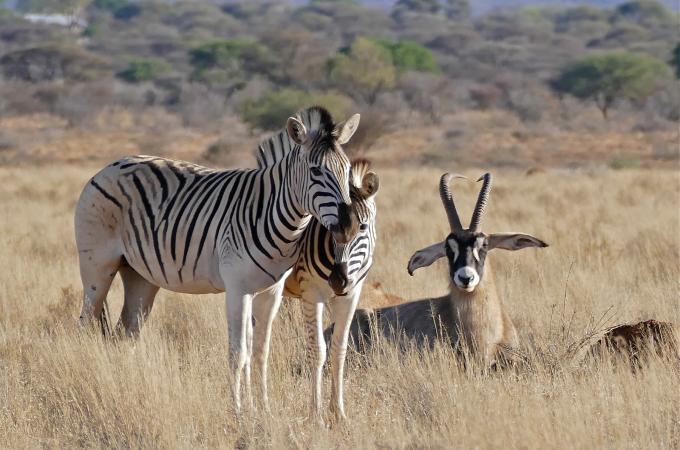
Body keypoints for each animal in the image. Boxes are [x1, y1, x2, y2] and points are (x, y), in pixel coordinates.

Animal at [75, 106, 361, 412]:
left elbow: (260, 352)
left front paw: (263, 409)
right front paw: (238, 412)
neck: (274, 212)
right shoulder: (237, 288)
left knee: (125, 332)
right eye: (316, 171)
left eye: (347, 170)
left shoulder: (270, 291)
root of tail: (111, 164)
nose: (348, 227)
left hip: (140, 276)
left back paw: (128, 388)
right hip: (97, 267)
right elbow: (238, 353)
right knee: (85, 325)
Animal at [281, 159, 379, 423]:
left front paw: (339, 414)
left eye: (363, 227)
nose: (337, 281)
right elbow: (318, 350)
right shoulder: (311, 293)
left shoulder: (351, 296)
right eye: (329, 227)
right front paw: (316, 416)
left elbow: (339, 349)